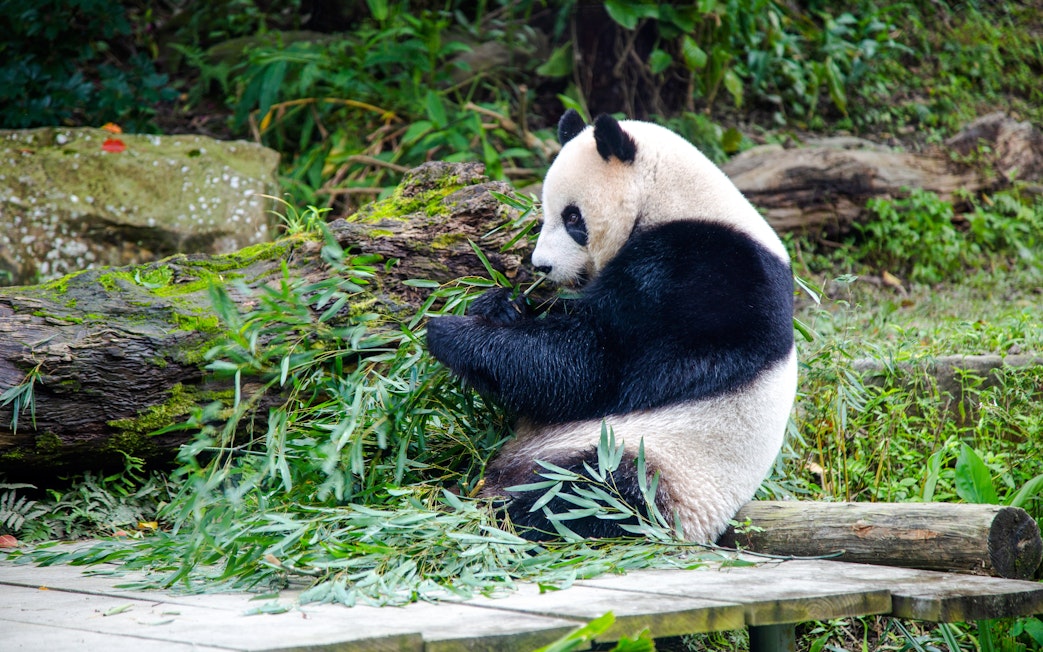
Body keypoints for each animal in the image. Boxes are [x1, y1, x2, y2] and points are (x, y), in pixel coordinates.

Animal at [426, 110, 797, 542]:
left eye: (572, 217)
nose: (541, 266)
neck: (676, 202)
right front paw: (499, 305)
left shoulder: (705, 277)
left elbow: (595, 366)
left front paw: (449, 332)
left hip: (655, 464)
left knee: (585, 493)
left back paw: (496, 510)